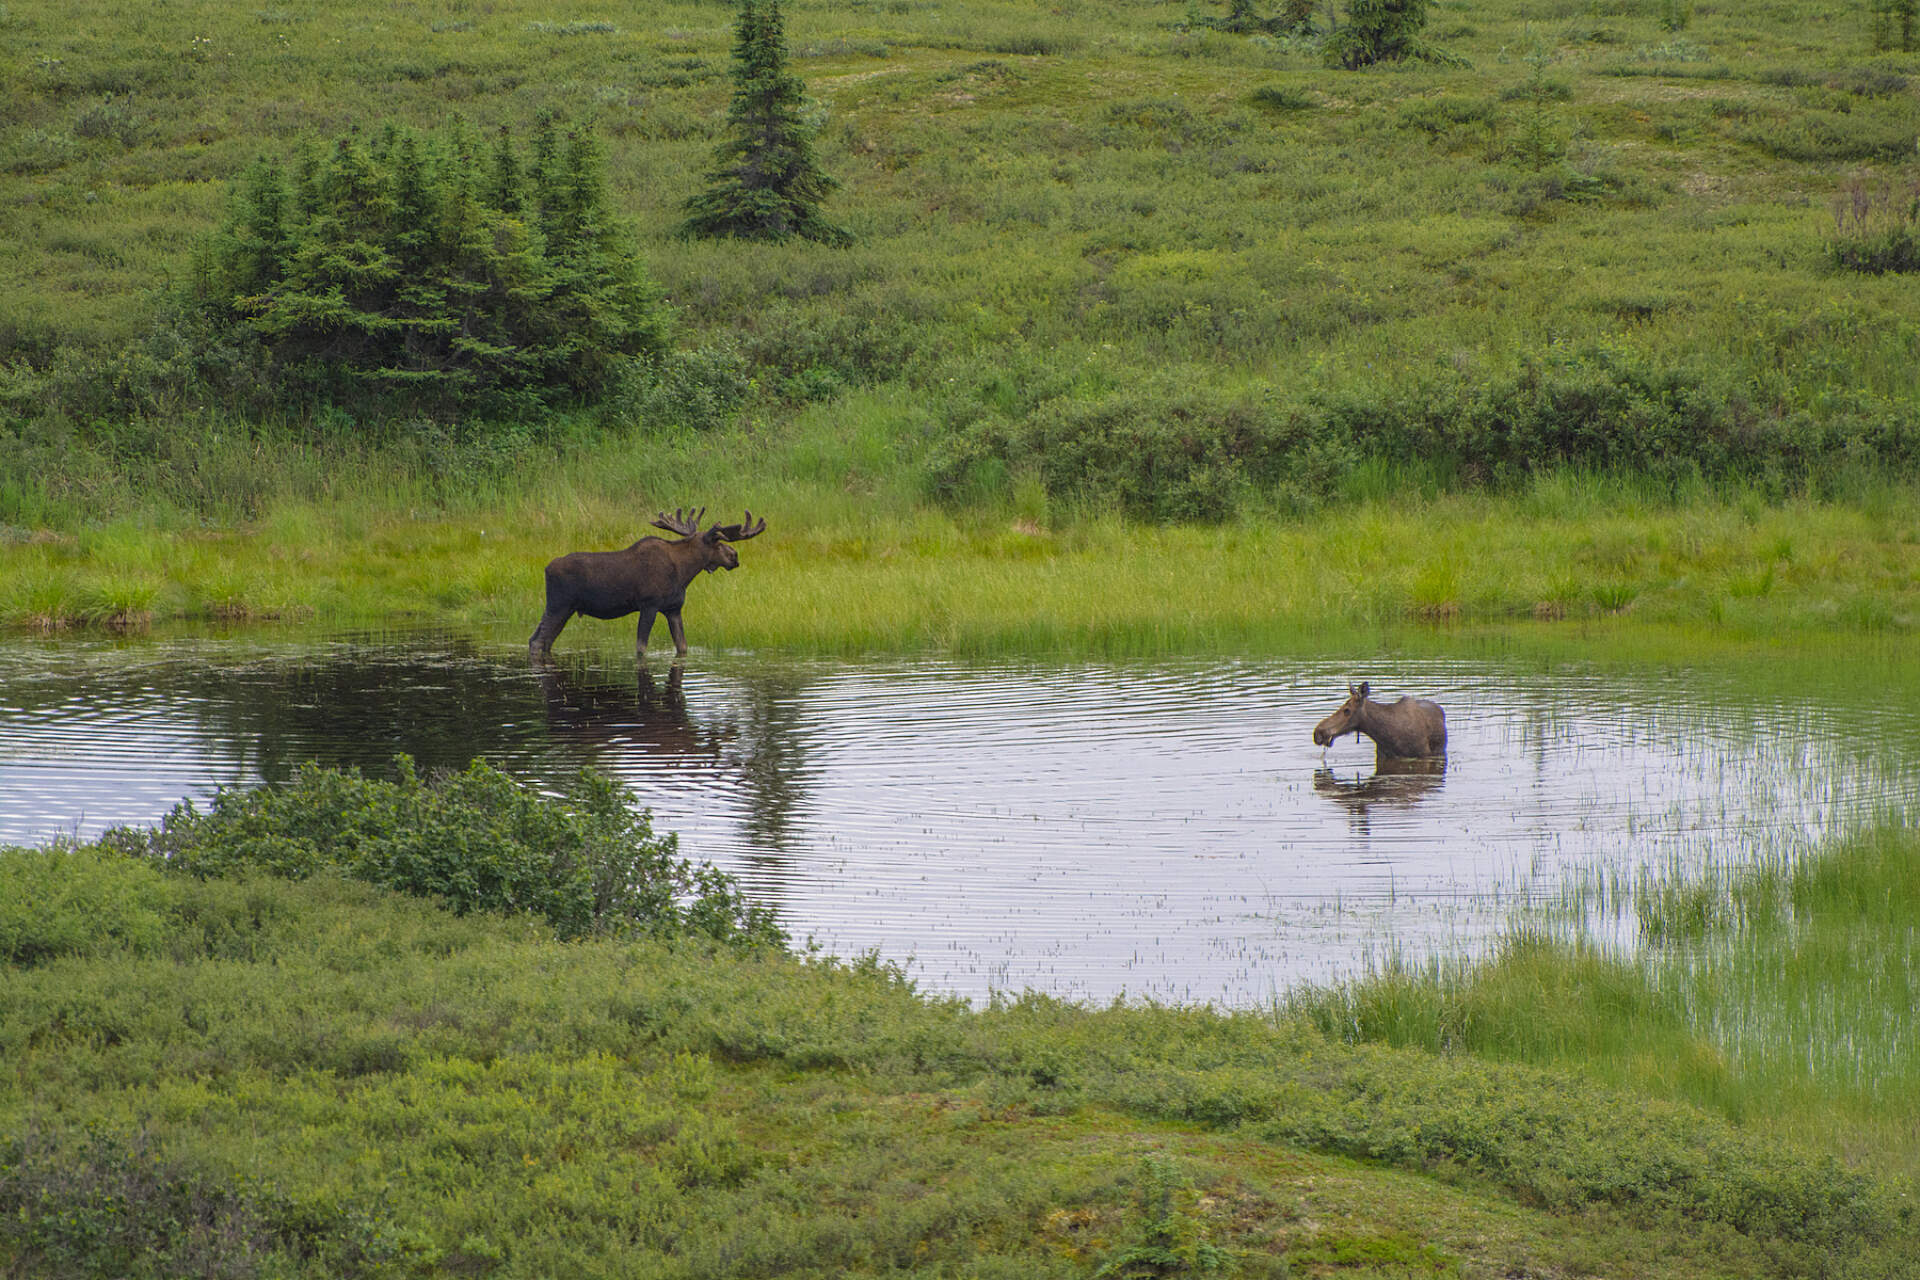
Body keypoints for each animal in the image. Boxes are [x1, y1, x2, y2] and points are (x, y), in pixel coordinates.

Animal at [529, 506, 768, 656]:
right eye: (718, 542)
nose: (735, 556)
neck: (684, 573)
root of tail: (546, 569)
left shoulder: (673, 609)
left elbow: (683, 647)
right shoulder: (649, 605)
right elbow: (641, 648)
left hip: (565, 609)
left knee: (542, 640)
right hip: (558, 604)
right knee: (537, 641)